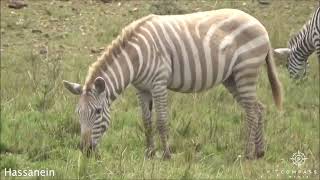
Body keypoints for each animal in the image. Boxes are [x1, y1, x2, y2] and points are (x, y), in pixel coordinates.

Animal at [63, 8, 284, 160]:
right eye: (78, 114)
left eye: (98, 111)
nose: (85, 151)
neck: (136, 59)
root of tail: (258, 23)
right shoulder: (141, 89)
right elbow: (146, 121)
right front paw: (150, 153)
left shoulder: (159, 83)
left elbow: (161, 120)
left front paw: (167, 155)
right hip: (232, 78)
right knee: (258, 108)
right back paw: (259, 152)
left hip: (246, 71)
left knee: (252, 112)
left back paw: (246, 154)